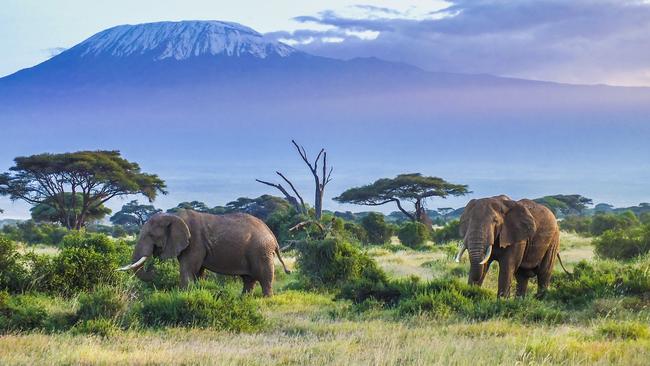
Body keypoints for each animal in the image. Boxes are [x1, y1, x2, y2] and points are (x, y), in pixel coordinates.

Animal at [117, 210, 288, 296]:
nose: (154, 270)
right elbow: (197, 272)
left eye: (151, 235)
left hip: (261, 251)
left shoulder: (195, 242)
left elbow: (188, 269)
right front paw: (195, 292)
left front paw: (183, 296)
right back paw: (244, 299)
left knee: (264, 277)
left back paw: (267, 299)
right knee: (248, 279)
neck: (174, 216)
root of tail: (272, 236)